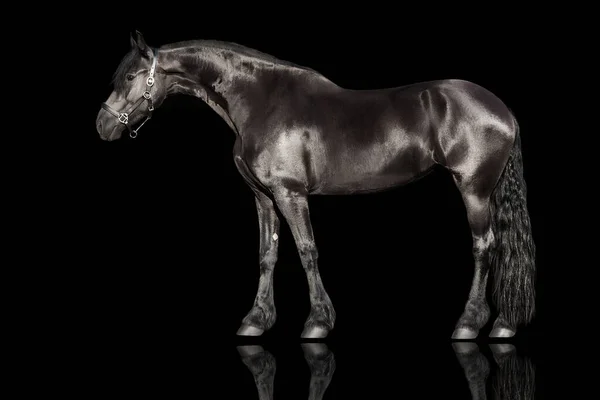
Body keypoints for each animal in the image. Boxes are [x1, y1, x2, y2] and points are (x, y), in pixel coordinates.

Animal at [96, 29, 536, 340]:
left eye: (131, 75)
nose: (102, 126)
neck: (259, 100)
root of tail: (503, 110)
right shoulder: (263, 197)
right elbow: (267, 254)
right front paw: (256, 320)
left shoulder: (290, 193)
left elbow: (307, 251)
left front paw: (318, 322)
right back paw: (502, 324)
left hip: (474, 189)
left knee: (484, 247)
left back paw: (470, 323)